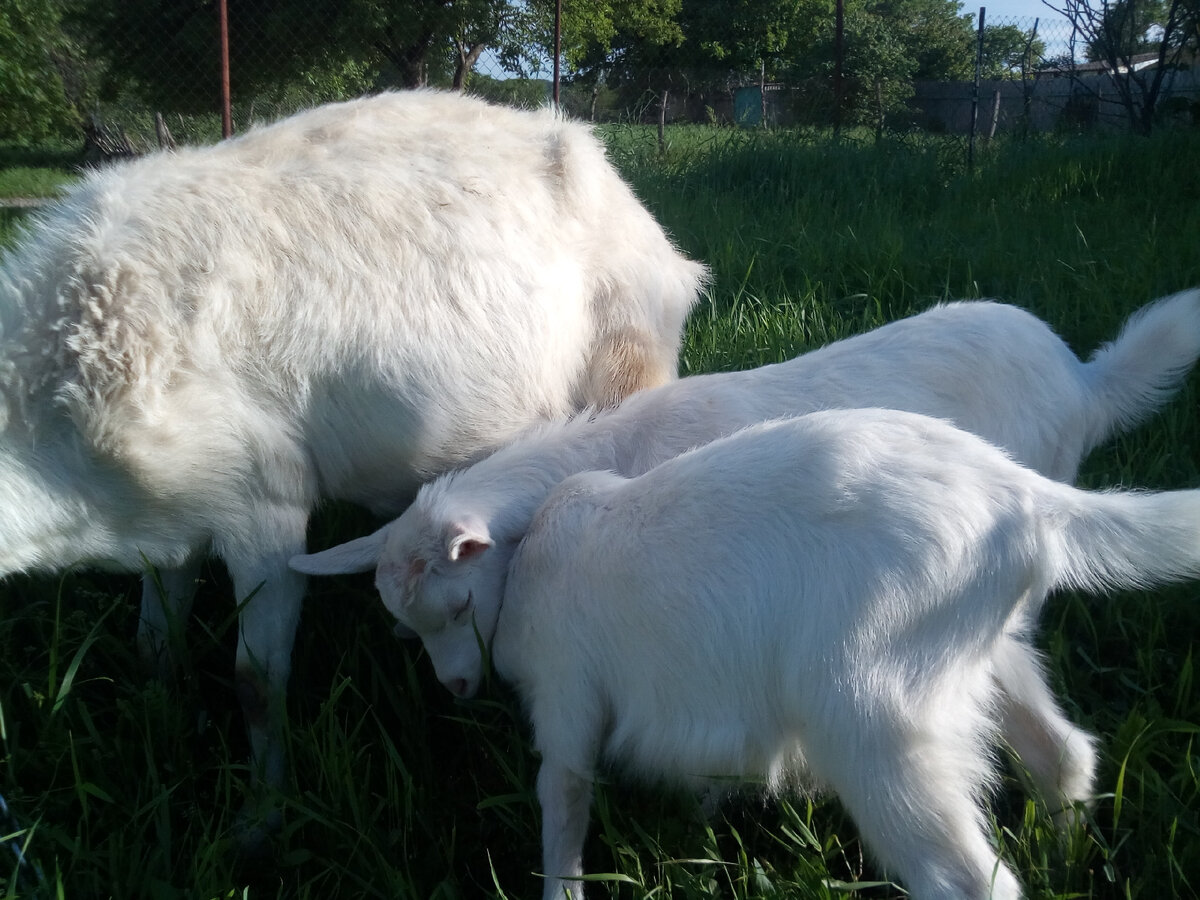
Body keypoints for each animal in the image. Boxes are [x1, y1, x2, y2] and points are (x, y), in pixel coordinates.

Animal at [0, 88, 700, 830]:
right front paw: (162, 733)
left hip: (628, 364)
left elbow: (255, 682)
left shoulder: (263, 505)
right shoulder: (173, 515)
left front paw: (262, 818)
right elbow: (154, 646)